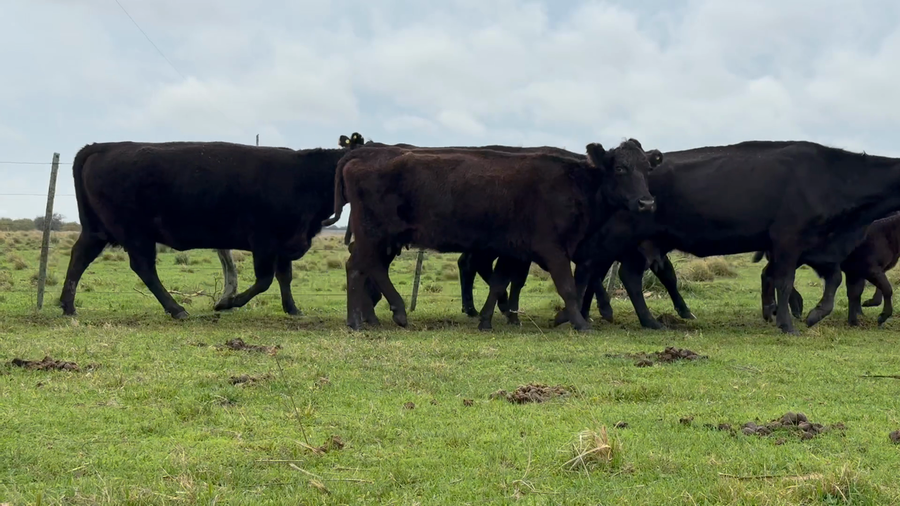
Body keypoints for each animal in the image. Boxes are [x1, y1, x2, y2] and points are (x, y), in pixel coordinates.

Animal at [59, 134, 367, 319]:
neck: (305, 177)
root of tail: (103, 146)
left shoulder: (286, 241)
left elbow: (284, 278)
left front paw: (292, 309)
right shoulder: (264, 241)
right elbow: (264, 280)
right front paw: (226, 303)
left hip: (98, 230)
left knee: (79, 257)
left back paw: (68, 305)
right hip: (135, 233)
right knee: (143, 268)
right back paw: (176, 309)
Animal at [322, 139, 662, 331]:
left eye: (647, 168)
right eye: (620, 168)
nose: (647, 202)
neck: (574, 181)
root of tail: (362, 153)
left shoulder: (515, 249)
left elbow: (499, 283)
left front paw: (486, 321)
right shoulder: (552, 248)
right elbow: (568, 287)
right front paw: (579, 322)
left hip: (381, 238)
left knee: (366, 267)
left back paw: (377, 317)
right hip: (374, 233)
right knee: (359, 266)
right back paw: (366, 320)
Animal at [753, 211, 900, 326]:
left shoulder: (858, 271)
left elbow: (856, 293)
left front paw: (855, 320)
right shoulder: (868, 268)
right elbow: (886, 289)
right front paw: (880, 316)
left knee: (769, 274)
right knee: (772, 275)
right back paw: (793, 307)